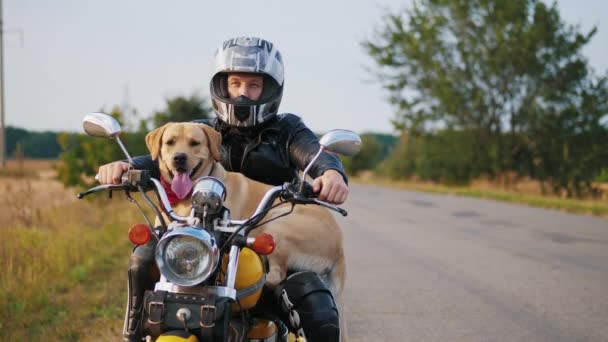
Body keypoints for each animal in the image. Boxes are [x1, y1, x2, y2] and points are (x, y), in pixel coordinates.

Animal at [144, 121, 346, 306]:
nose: (179, 158)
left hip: (277, 225)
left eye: (195, 143)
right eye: (170, 142)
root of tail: (340, 251)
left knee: (276, 275)